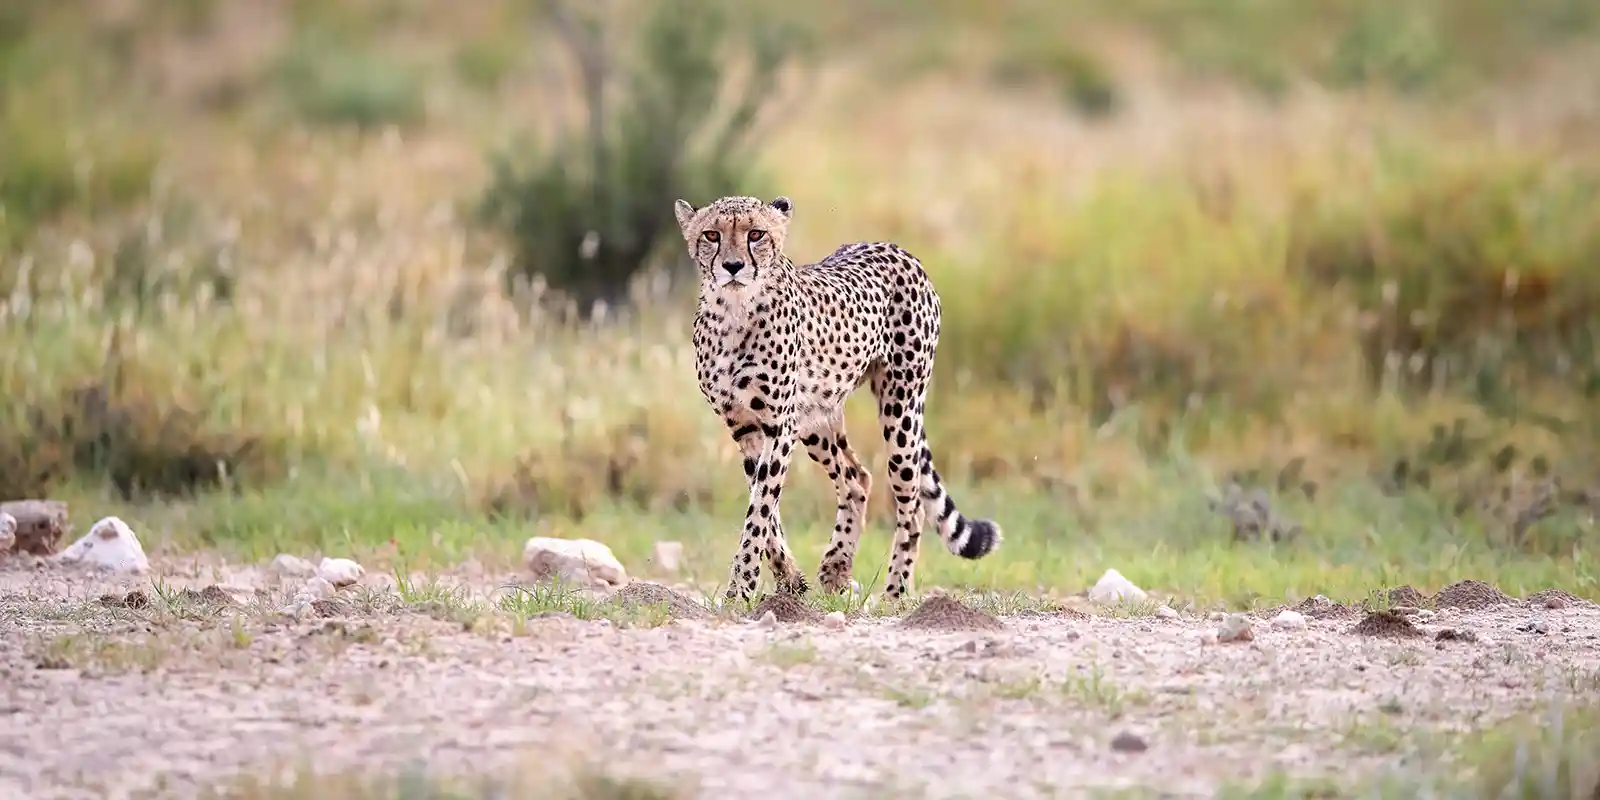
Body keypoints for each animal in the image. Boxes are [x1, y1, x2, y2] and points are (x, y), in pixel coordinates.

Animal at [674, 193, 1003, 604]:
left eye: (756, 234)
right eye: (711, 235)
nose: (733, 266)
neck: (734, 310)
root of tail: (894, 248)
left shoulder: (778, 426)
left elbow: (760, 508)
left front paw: (742, 587)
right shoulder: (745, 426)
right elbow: (766, 509)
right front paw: (790, 579)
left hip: (901, 407)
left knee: (911, 503)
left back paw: (894, 592)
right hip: (817, 418)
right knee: (856, 477)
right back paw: (835, 568)